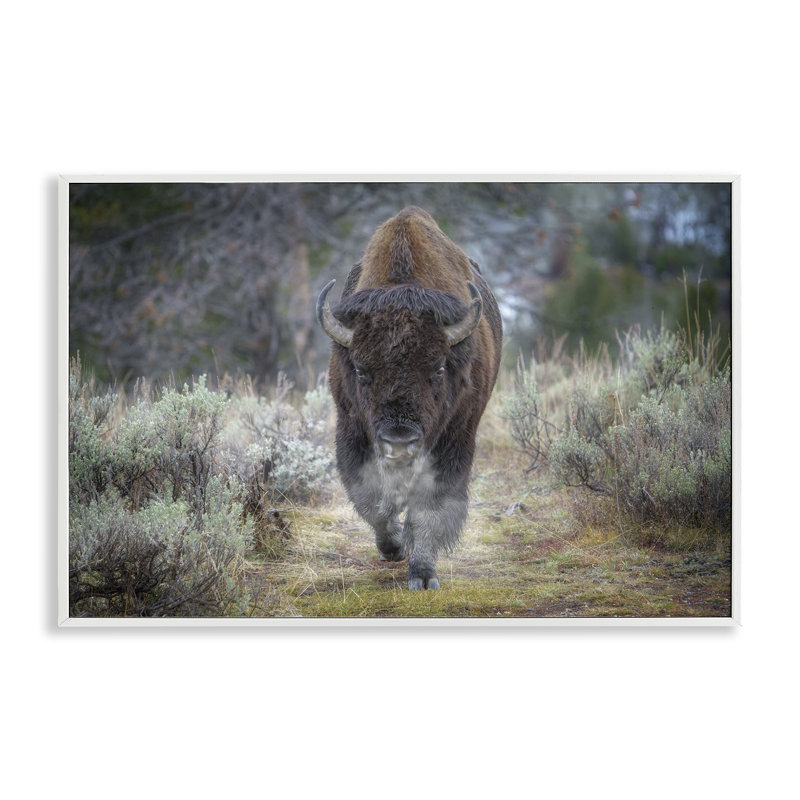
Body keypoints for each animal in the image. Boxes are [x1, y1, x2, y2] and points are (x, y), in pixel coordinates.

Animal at [317, 206, 502, 589]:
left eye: (438, 369)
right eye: (361, 370)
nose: (399, 443)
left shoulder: (454, 441)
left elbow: (430, 507)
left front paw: (423, 574)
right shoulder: (351, 432)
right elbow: (373, 501)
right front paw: (393, 548)